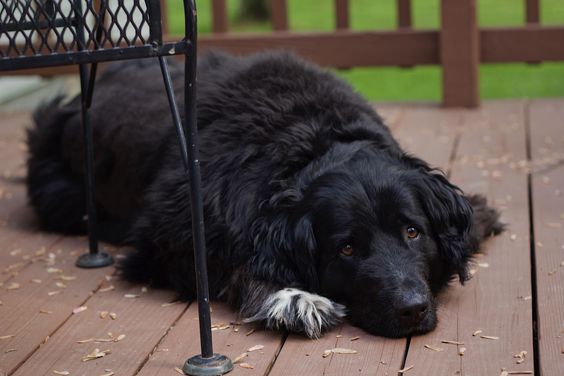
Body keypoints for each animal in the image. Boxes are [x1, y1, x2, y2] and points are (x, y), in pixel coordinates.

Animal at [26, 52, 502, 338]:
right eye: (346, 249)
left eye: (413, 232)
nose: (411, 309)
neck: (310, 140)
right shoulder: (164, 241)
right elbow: (231, 266)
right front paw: (291, 298)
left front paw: (482, 214)